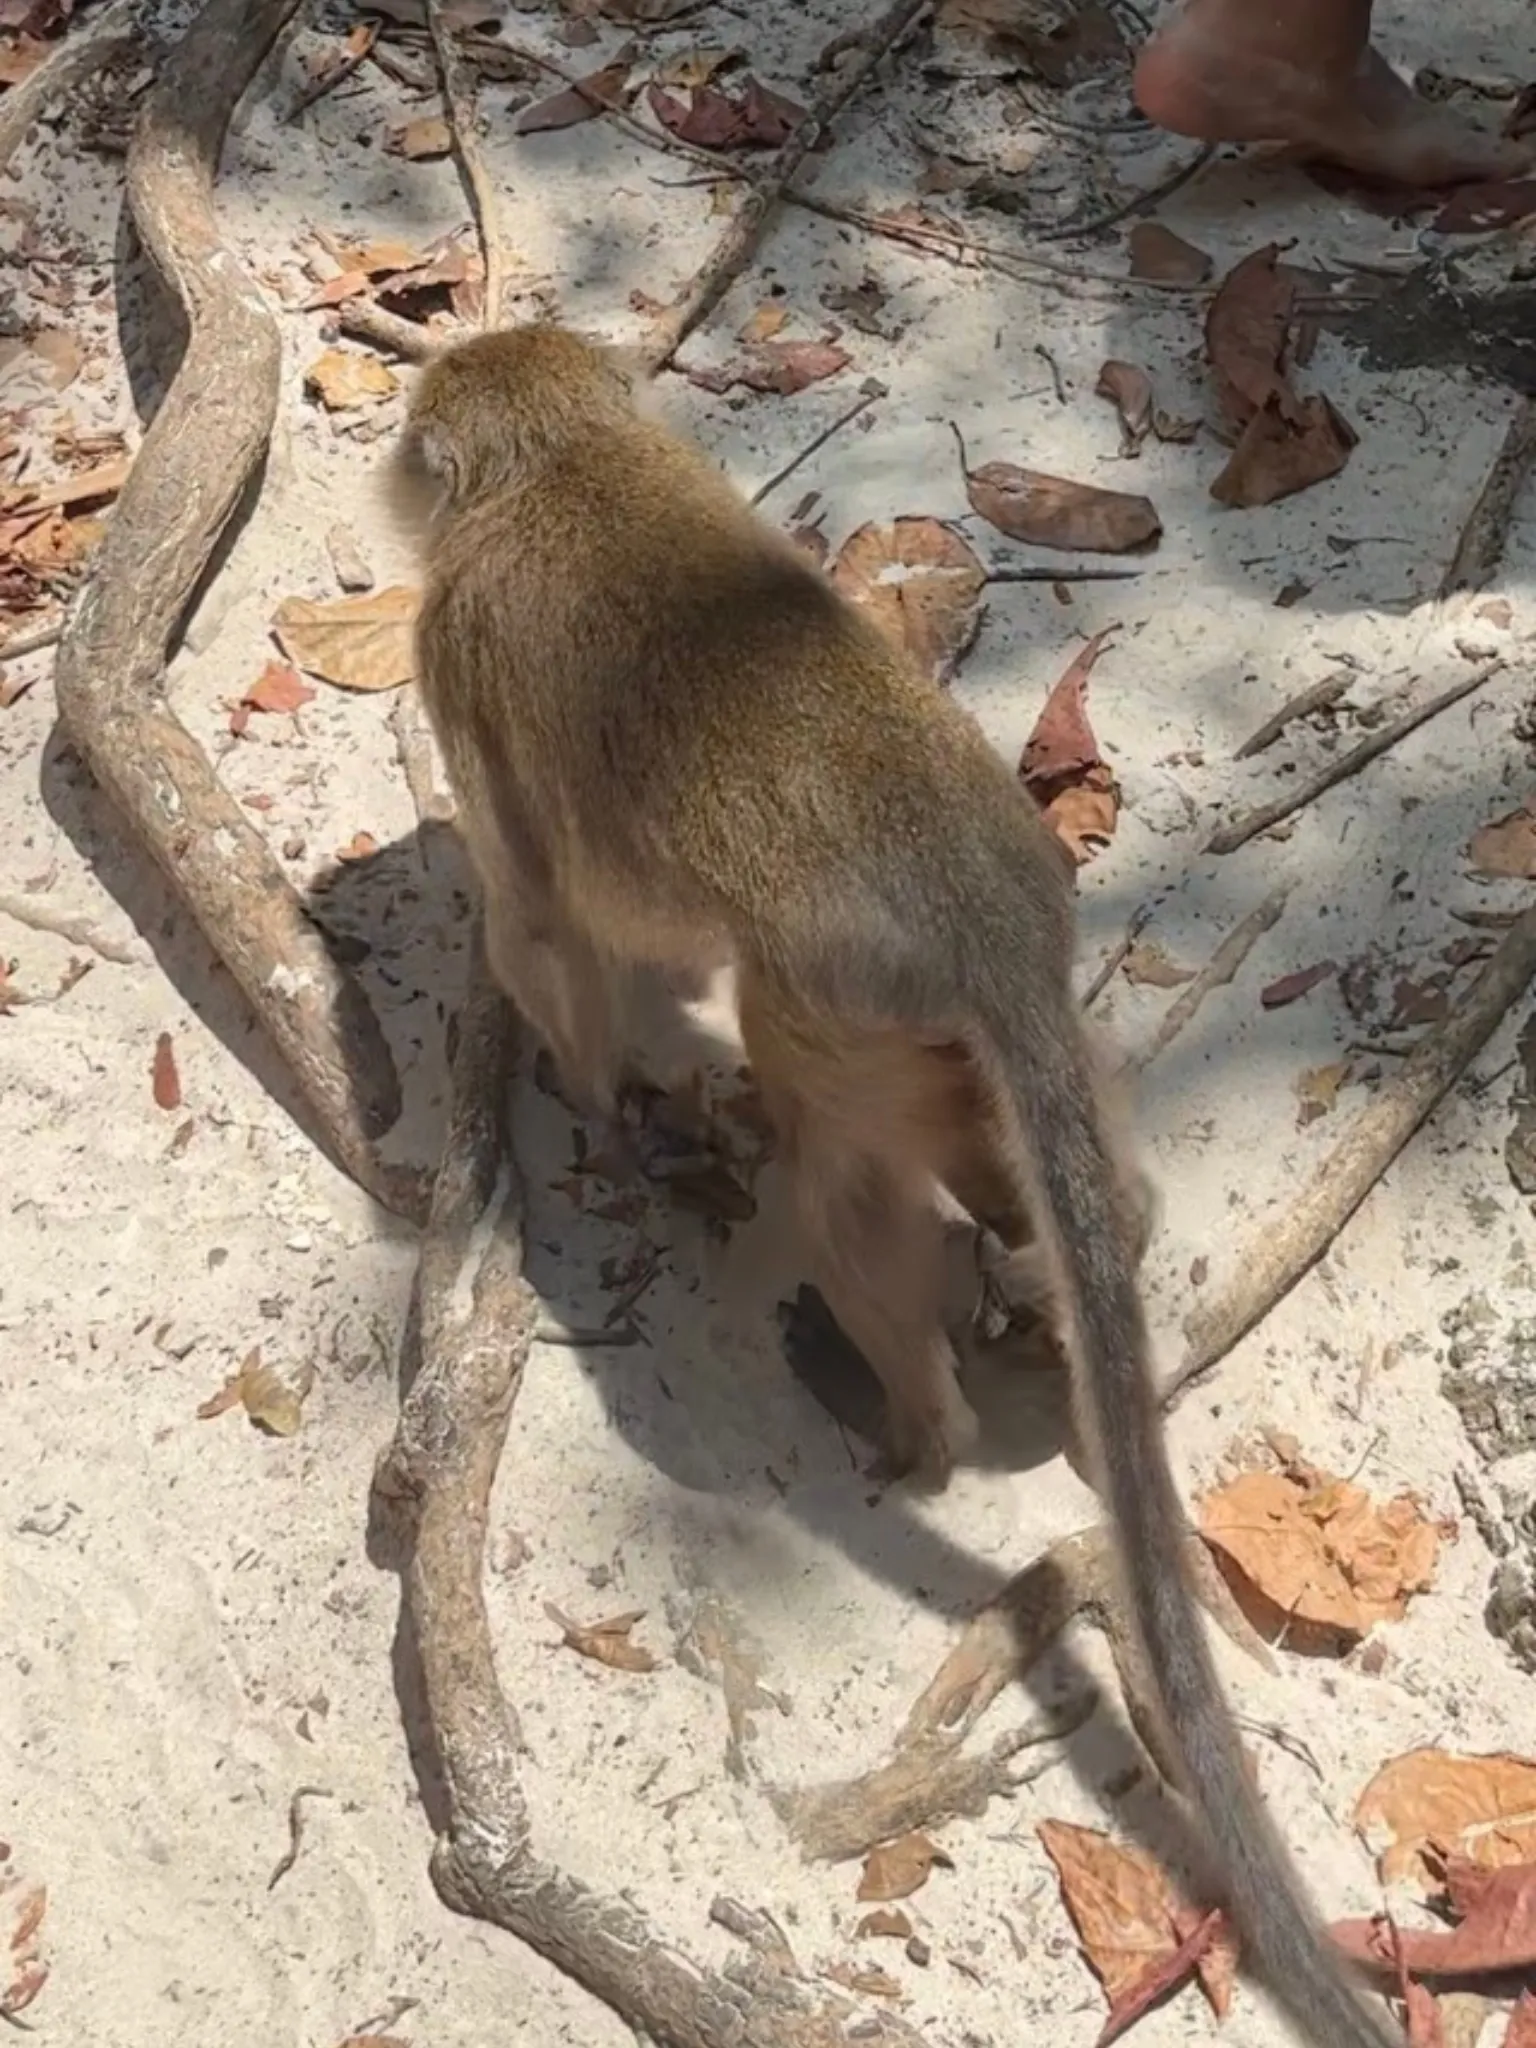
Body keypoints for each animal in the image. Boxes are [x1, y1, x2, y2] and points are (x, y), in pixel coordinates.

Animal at [396, 322, 1398, 2048]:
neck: (565, 458)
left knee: (837, 1174)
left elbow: (540, 918)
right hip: (944, 1015)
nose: (390, 477)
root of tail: (980, 901)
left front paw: (585, 1085)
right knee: (1002, 1156)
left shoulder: (449, 637)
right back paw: (1069, 1282)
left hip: (837, 1004)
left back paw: (911, 1416)